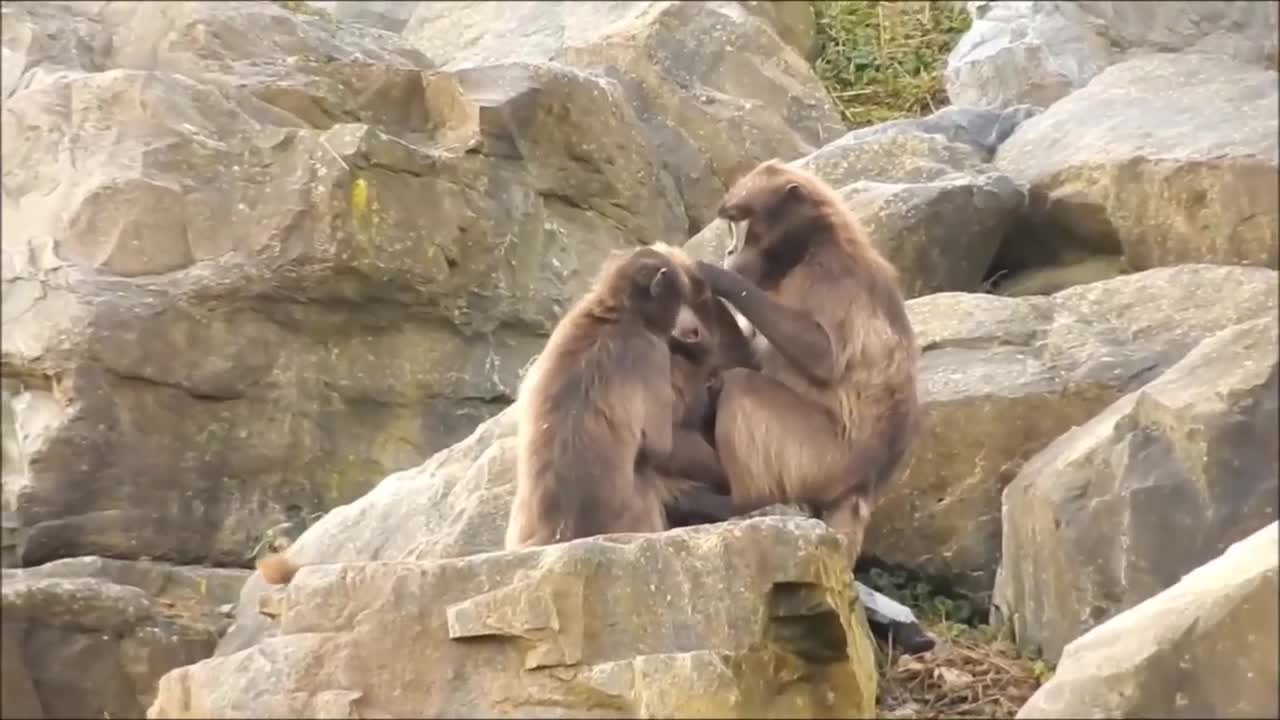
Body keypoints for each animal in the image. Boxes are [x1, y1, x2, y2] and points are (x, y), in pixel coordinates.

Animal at [504, 243, 737, 545]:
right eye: (679, 298)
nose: (685, 325)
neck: (615, 313)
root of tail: (558, 532)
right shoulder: (651, 351)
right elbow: (660, 444)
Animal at [691, 158, 921, 566]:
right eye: (731, 222)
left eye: (741, 221)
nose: (729, 252)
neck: (809, 245)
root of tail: (862, 485)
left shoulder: (830, 273)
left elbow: (823, 356)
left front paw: (715, 276)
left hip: (819, 458)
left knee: (741, 387)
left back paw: (739, 503)